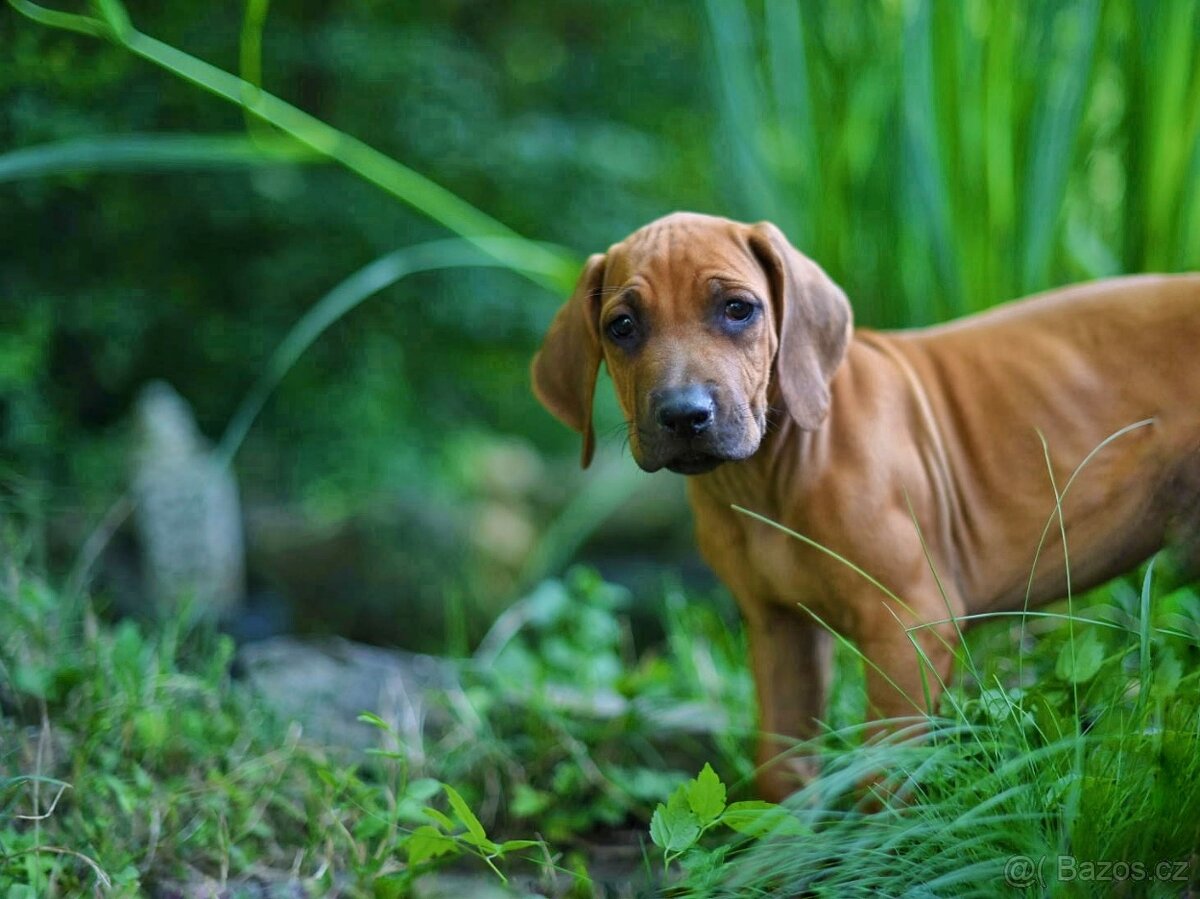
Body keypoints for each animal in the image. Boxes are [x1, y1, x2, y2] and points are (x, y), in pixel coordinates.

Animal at [535, 212, 1200, 801]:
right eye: (622, 326)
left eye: (738, 309)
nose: (684, 415)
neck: (770, 478)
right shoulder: (780, 631)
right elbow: (782, 770)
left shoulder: (908, 627)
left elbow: (881, 780)